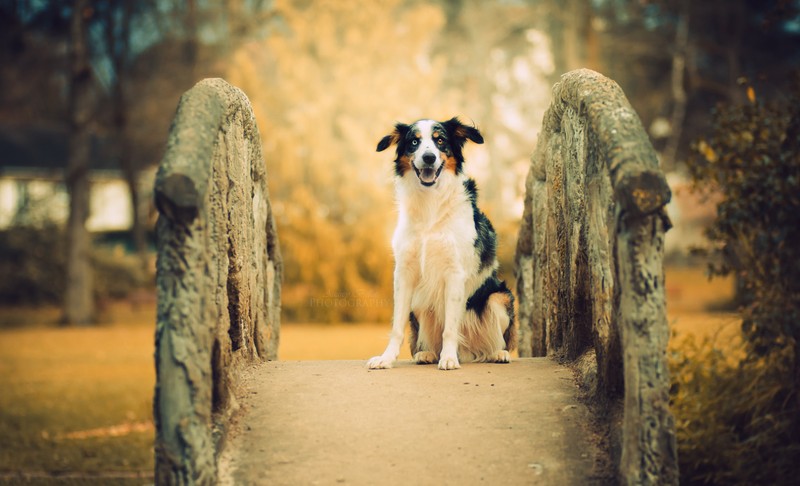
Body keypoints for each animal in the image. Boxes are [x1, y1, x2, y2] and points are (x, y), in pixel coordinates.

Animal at [366, 116, 516, 370]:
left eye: (440, 141)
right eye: (414, 141)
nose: (429, 157)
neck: (430, 203)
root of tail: (468, 352)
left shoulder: (455, 272)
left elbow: (450, 328)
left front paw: (448, 358)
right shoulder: (404, 273)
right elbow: (397, 327)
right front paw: (386, 358)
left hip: (499, 298)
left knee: (496, 339)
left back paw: (496, 353)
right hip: (419, 303)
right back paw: (426, 354)